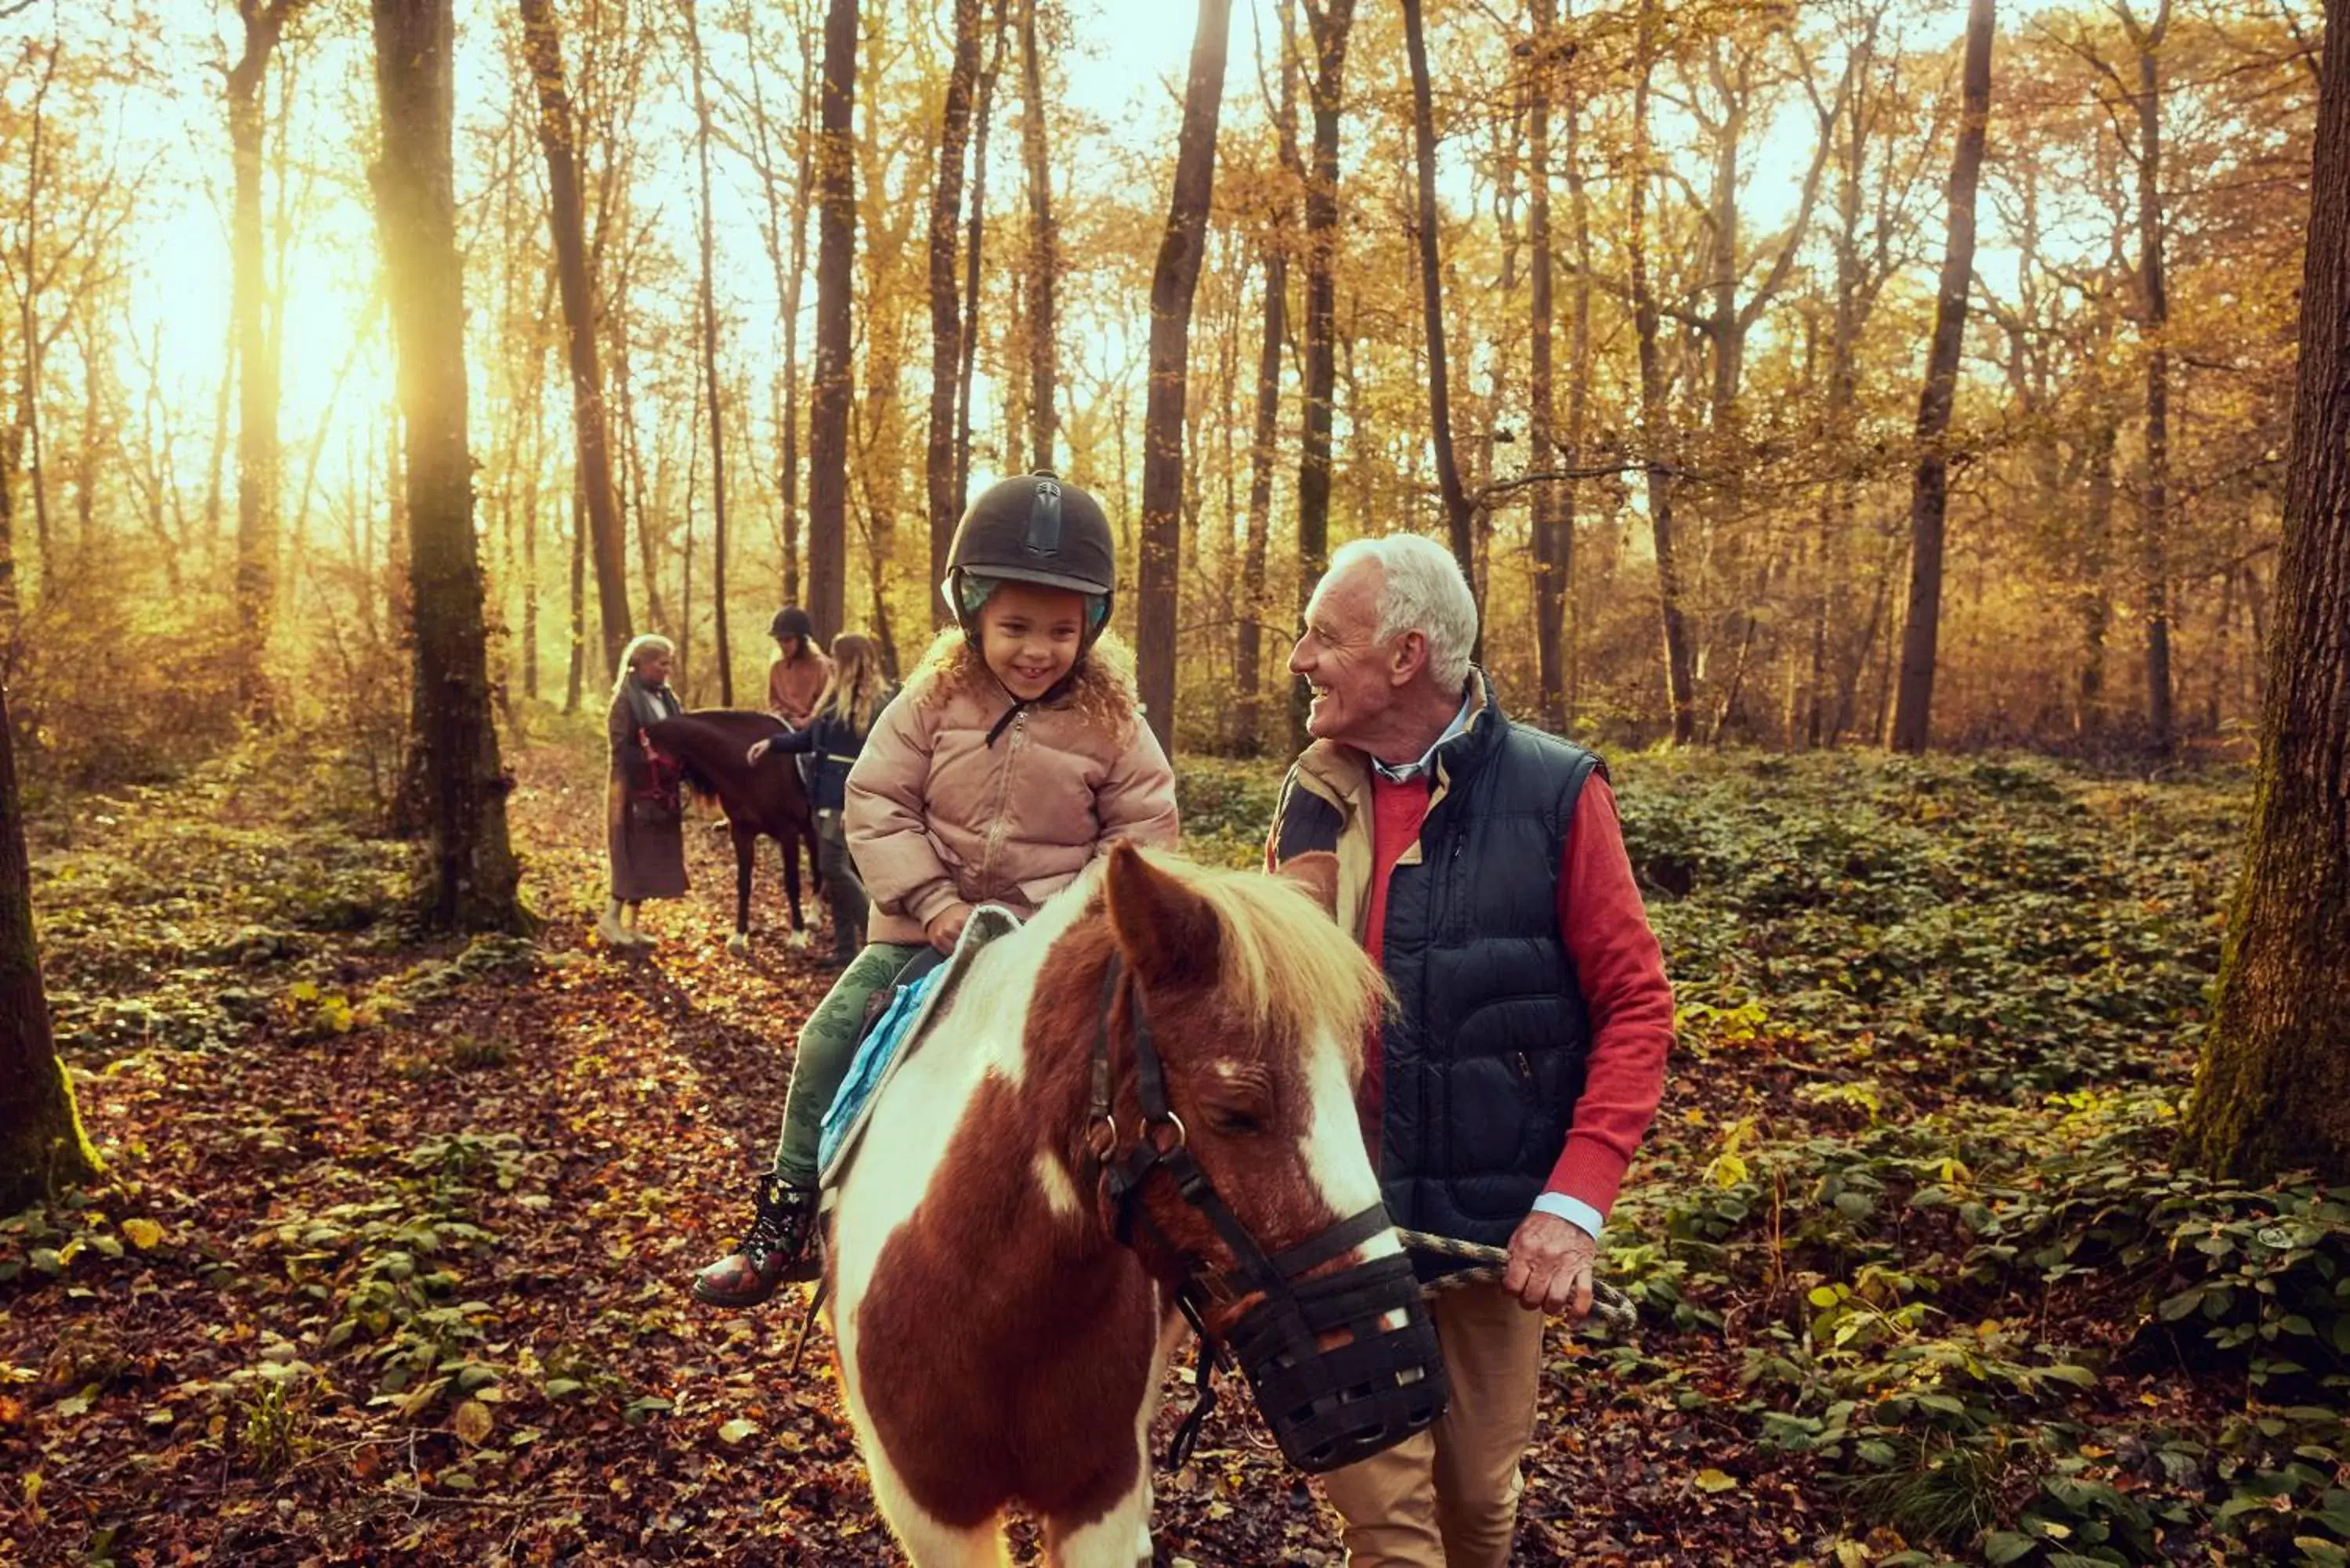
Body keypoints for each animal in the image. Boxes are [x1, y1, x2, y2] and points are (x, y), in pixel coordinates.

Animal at [644, 714, 827, 959]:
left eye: (647, 764)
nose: (646, 813)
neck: (750, 769)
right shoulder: (742, 833)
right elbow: (744, 884)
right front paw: (740, 936)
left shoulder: (788, 834)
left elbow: (792, 883)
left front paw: (797, 935)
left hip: (811, 830)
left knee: (818, 867)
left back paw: (813, 916)